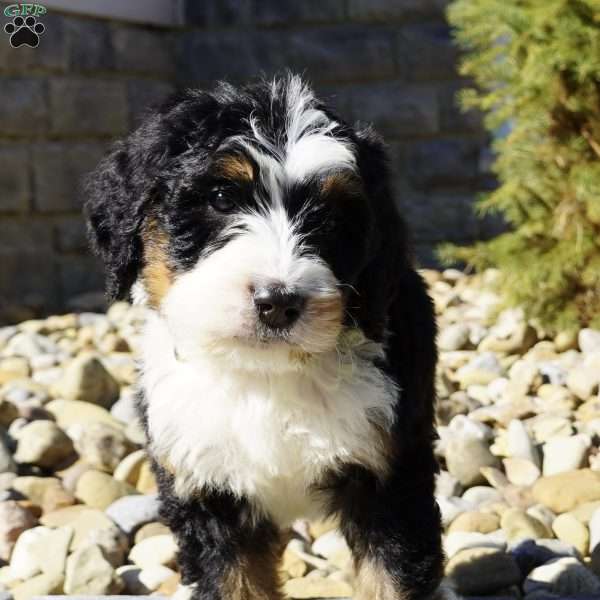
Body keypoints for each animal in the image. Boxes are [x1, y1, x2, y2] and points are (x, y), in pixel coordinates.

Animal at [85, 72, 450, 596]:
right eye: (220, 198)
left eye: (332, 220)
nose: (278, 302)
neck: (266, 374)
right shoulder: (205, 487)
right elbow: (232, 581)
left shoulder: (391, 478)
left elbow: (393, 578)